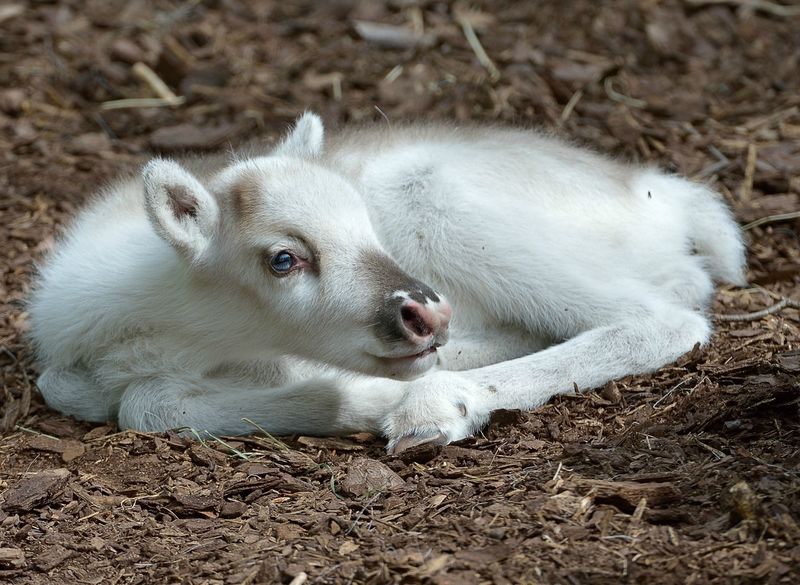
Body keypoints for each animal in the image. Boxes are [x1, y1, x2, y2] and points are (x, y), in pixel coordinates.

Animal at [29, 115, 744, 452]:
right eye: (283, 259)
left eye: (364, 224)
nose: (426, 314)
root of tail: (661, 196)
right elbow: (114, 398)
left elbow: (140, 404)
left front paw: (367, 400)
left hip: (439, 198)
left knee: (663, 315)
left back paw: (436, 405)